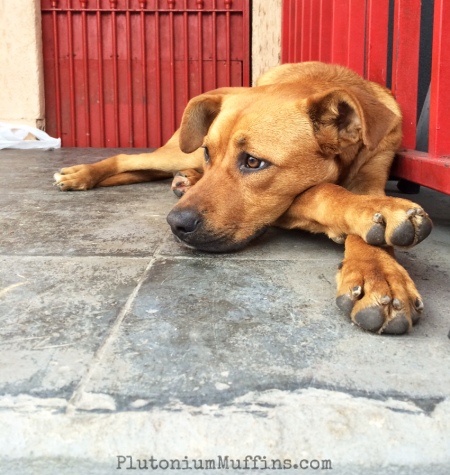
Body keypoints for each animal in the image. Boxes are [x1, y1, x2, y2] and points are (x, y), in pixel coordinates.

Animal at [52, 63, 432, 336]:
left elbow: (373, 235)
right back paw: (81, 175)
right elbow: (321, 191)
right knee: (128, 160)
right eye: (210, 151)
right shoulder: (285, 206)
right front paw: (373, 219)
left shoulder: (373, 173)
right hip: (179, 151)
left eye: (252, 162)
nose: (175, 225)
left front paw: (378, 271)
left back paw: (183, 181)